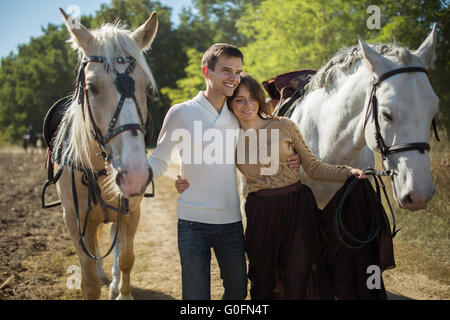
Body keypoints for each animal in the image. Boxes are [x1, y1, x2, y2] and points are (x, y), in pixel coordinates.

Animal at [51, 10, 158, 300]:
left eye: (145, 88)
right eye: (91, 87)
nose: (134, 176)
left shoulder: (131, 212)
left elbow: (126, 258)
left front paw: (123, 291)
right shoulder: (74, 219)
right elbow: (88, 279)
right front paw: (97, 280)